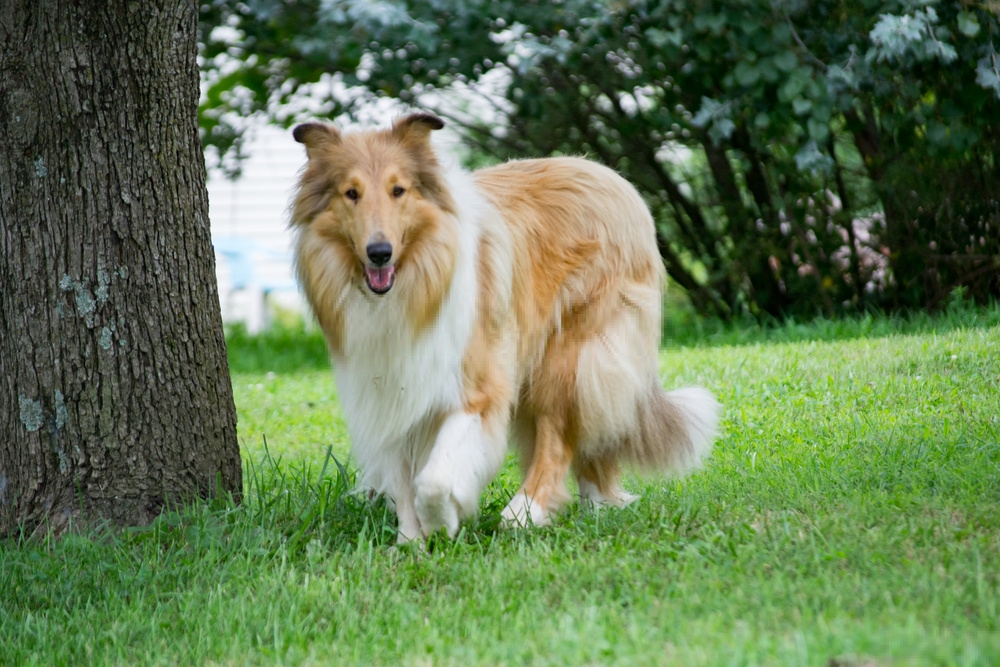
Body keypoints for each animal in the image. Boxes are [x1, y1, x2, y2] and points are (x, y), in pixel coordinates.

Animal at [290, 115, 720, 544]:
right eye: (351, 193)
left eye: (398, 190)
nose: (379, 253)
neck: (413, 285)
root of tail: (608, 175)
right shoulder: (390, 390)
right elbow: (401, 477)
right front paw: (410, 541)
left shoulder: (477, 386)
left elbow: (434, 479)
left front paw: (441, 521)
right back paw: (597, 501)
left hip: (569, 357)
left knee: (557, 439)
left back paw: (525, 512)